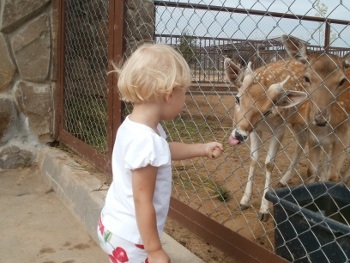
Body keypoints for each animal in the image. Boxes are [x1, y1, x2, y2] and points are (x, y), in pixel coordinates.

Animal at [224, 58, 308, 223]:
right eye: (237, 98)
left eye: (267, 111)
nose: (239, 135)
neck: (265, 122)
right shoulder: (255, 130)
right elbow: (253, 158)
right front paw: (244, 201)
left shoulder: (280, 128)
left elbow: (269, 163)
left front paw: (264, 210)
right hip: (297, 121)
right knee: (303, 141)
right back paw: (285, 179)